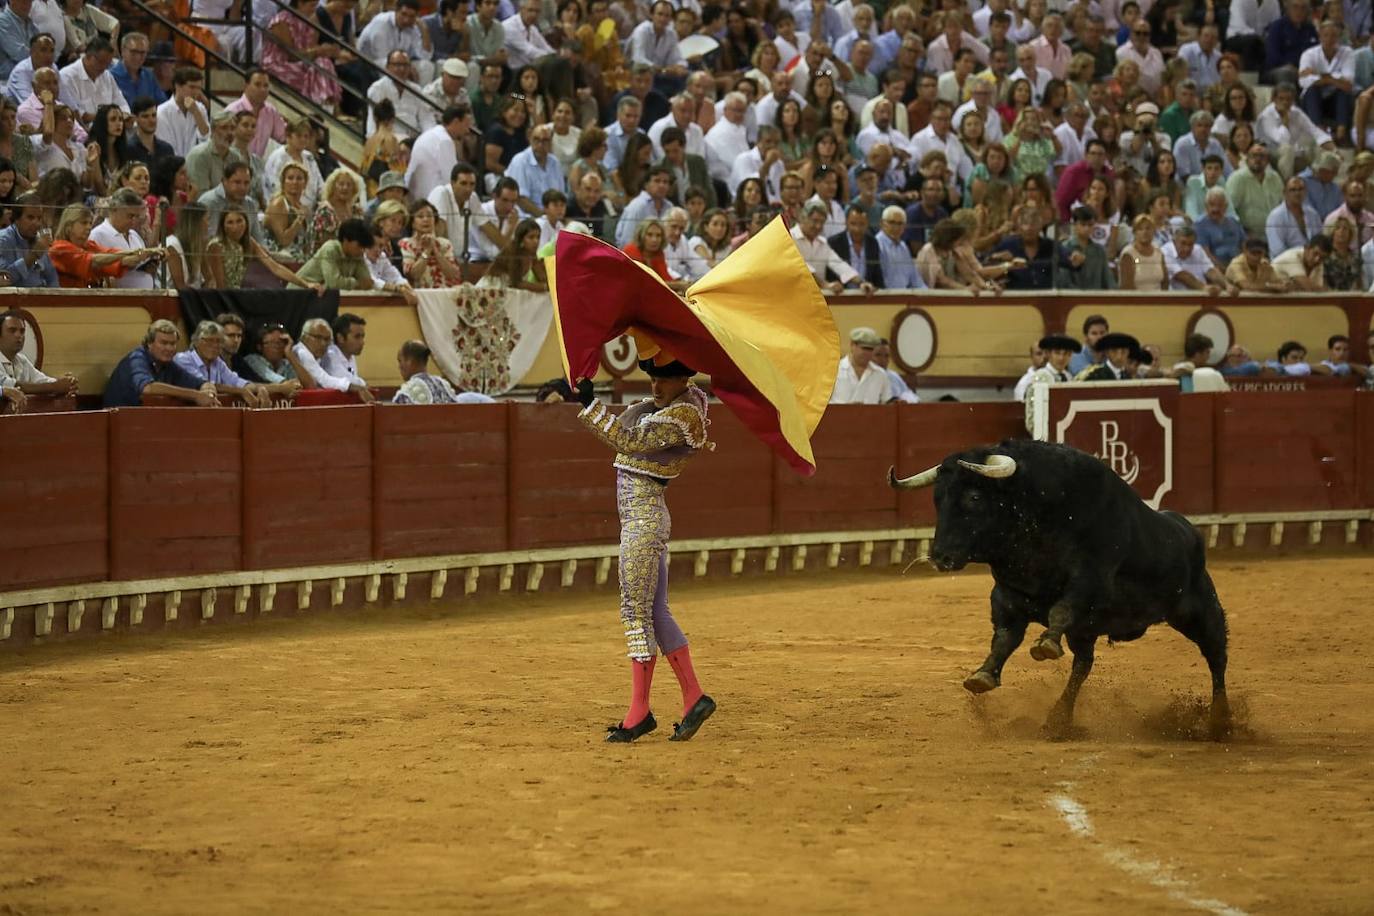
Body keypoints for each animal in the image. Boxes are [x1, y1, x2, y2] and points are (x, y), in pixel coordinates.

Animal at [890, 439, 1236, 736]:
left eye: (974, 497)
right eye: (937, 499)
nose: (941, 556)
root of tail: (1189, 531)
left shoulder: (1088, 582)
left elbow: (1061, 609)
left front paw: (1045, 645)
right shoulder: (1007, 597)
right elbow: (1004, 639)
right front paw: (982, 676)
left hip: (1201, 611)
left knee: (1217, 657)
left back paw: (1221, 722)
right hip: (1086, 631)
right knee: (1082, 665)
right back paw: (1059, 718)